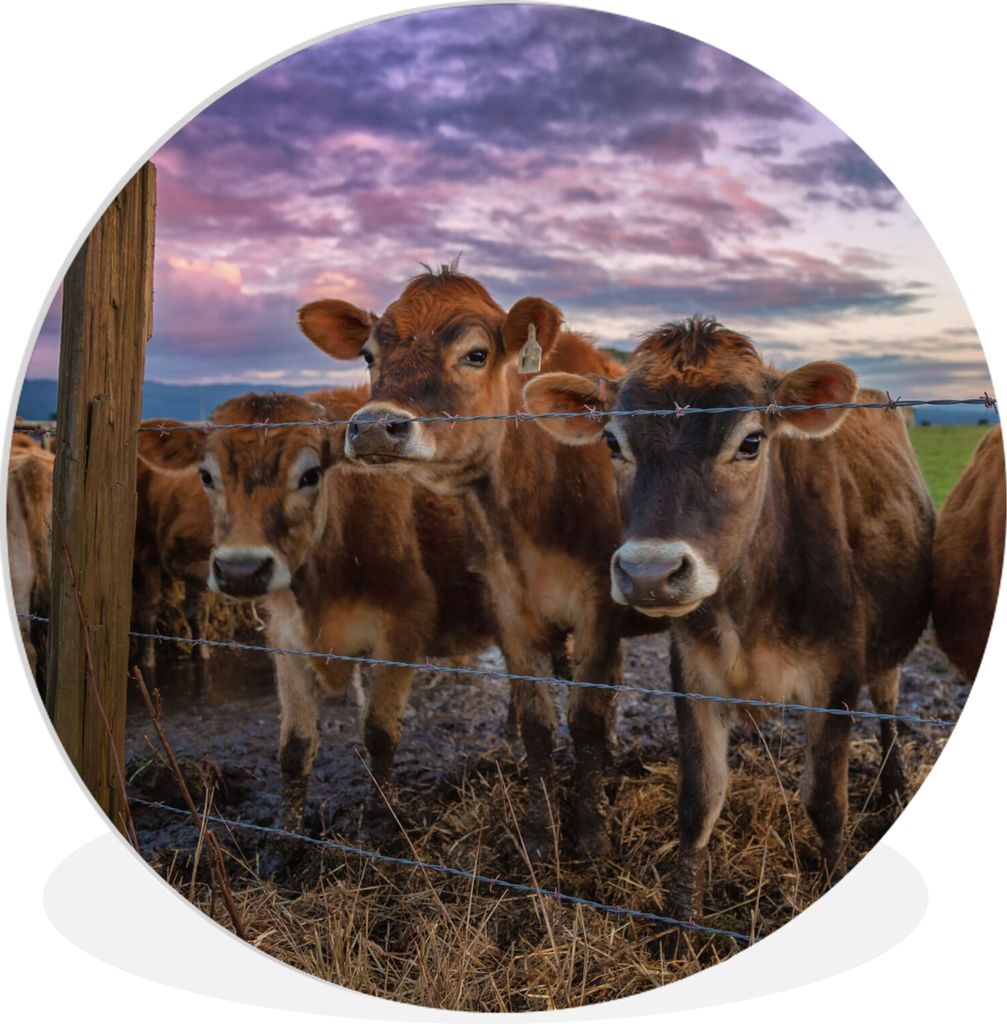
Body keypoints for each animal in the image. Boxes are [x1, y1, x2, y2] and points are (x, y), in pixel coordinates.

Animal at [297, 267, 666, 860]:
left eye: (475, 354)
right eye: (369, 355)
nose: (375, 427)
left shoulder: (599, 604)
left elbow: (584, 718)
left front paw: (591, 833)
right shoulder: (506, 604)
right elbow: (539, 723)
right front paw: (540, 834)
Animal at [523, 317, 934, 917]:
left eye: (751, 442)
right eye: (613, 442)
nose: (650, 572)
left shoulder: (836, 676)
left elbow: (826, 803)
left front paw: (835, 875)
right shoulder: (693, 673)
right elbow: (699, 799)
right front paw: (680, 919)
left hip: (884, 652)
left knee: (887, 708)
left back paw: (896, 784)